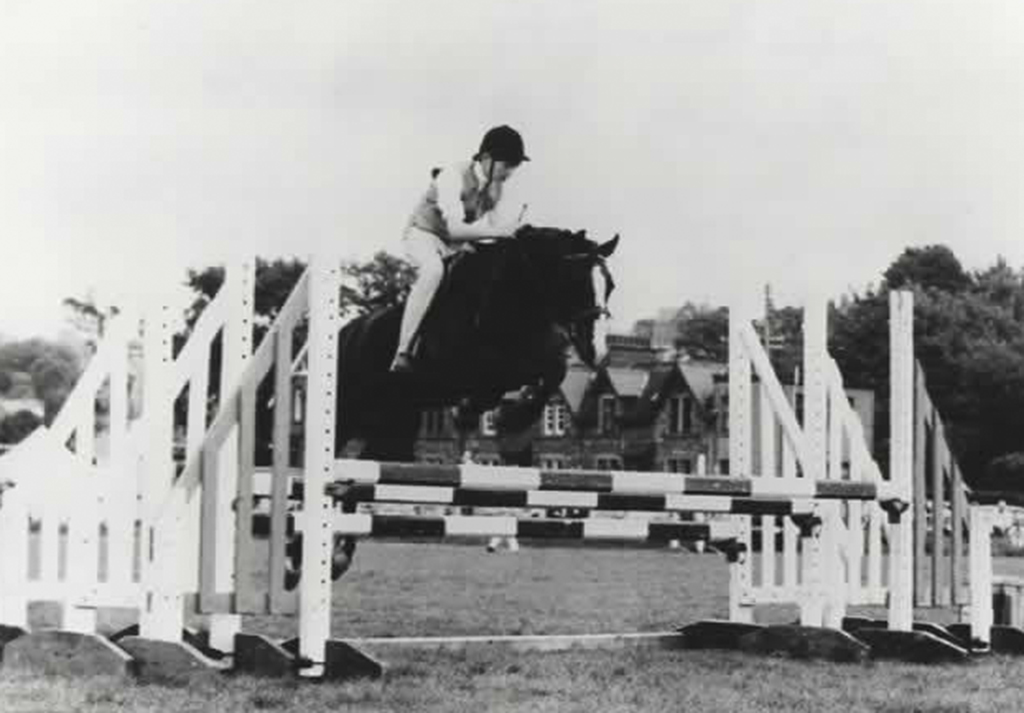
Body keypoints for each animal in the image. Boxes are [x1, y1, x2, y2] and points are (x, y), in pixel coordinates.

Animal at [284, 225, 614, 585]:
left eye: (609, 286)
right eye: (578, 283)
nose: (598, 353)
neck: (511, 290)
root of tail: (345, 333)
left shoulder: (532, 355)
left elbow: (553, 369)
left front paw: (513, 413)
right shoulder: (470, 363)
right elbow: (507, 376)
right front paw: (492, 413)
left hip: (394, 426)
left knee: (357, 480)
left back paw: (337, 556)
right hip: (345, 413)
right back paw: (296, 556)